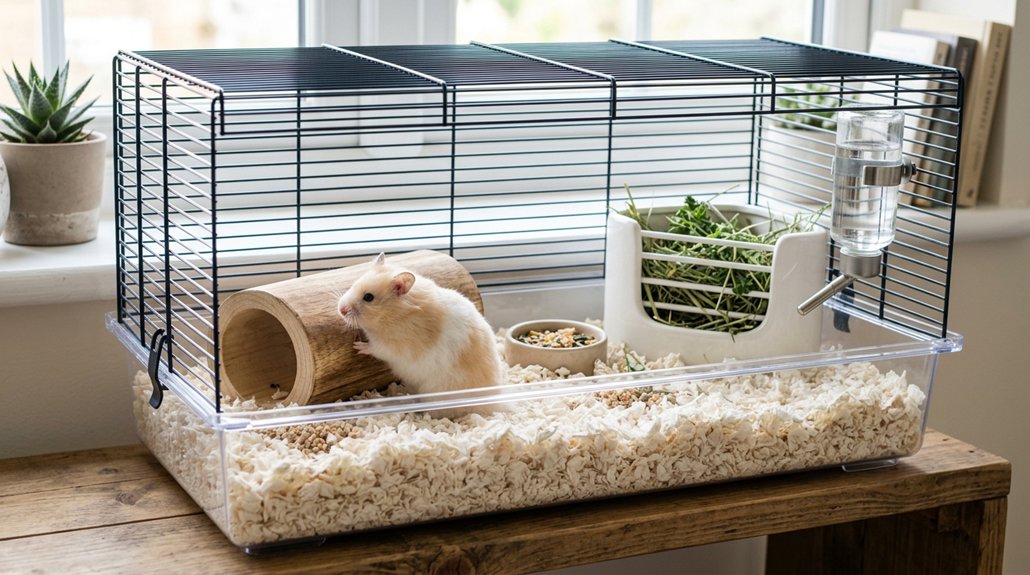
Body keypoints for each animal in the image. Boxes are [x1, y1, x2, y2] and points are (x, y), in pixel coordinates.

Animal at [336, 253, 505, 416]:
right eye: (354, 284)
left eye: (368, 297)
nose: (340, 310)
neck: (394, 313)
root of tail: (495, 401)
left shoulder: (396, 345)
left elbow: (376, 348)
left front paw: (358, 347)